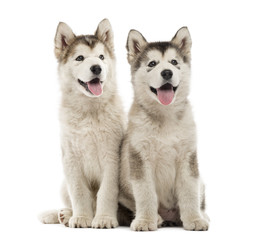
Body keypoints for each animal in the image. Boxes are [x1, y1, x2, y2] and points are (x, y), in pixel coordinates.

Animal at [38, 18, 125, 229]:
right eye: (80, 58)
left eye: (101, 57)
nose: (97, 68)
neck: (89, 111)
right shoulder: (70, 159)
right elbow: (78, 191)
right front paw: (81, 218)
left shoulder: (112, 157)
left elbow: (106, 192)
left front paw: (104, 218)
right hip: (63, 184)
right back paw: (63, 214)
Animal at [119, 26, 209, 231]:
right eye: (152, 63)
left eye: (174, 62)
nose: (167, 72)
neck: (165, 116)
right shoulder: (140, 158)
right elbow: (145, 194)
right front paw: (145, 221)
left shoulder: (187, 157)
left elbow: (189, 192)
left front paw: (194, 220)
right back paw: (157, 219)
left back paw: (202, 216)